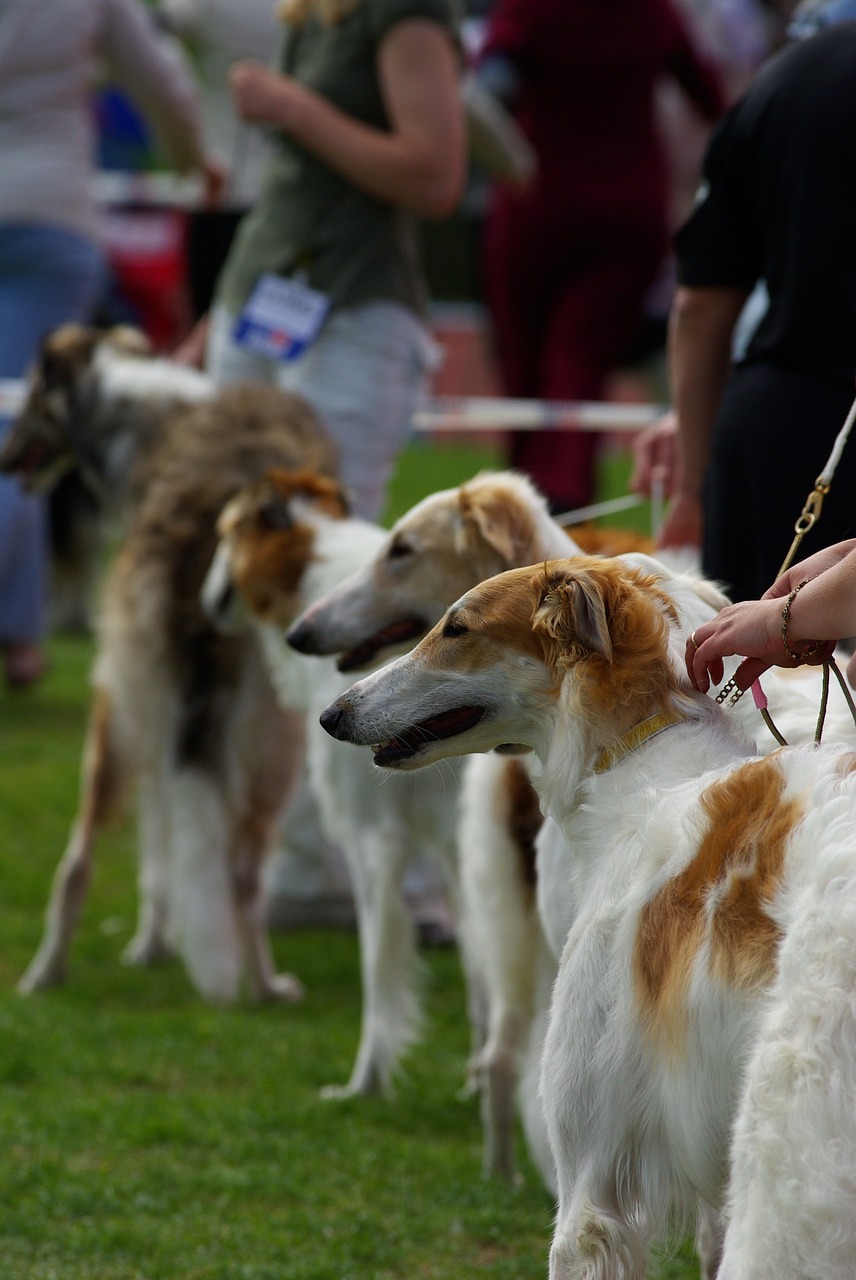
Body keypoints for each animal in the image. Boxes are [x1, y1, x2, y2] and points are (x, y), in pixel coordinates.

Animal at [9, 325, 337, 1003]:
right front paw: (157, 943)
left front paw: (150, 945)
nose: (5, 460)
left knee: (77, 859)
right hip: (270, 737)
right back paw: (264, 984)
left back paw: (45, 974)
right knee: (241, 872)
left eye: (28, 395)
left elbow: (159, 847)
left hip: (121, 709)